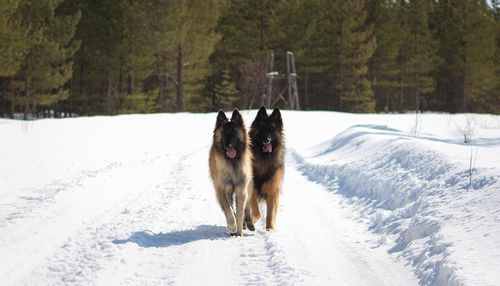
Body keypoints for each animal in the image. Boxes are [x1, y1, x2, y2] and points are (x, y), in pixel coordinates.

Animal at [208, 108, 254, 236]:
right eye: (224, 133)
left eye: (234, 132)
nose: (228, 146)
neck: (232, 163)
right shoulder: (223, 190)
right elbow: (229, 210)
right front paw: (232, 225)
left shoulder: (241, 189)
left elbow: (240, 212)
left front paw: (239, 231)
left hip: (248, 187)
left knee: (247, 206)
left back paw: (249, 223)